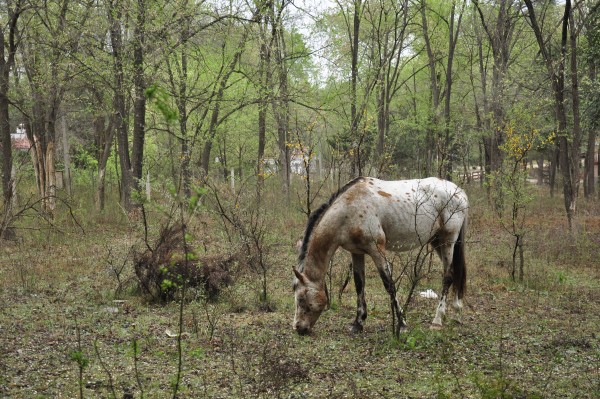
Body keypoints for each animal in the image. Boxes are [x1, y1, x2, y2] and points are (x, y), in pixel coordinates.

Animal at [292, 178, 468, 338]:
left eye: (301, 299)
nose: (298, 328)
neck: (348, 208)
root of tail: (460, 192)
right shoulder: (357, 252)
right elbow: (359, 284)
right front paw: (358, 323)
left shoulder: (377, 250)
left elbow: (389, 285)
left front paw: (402, 324)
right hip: (436, 241)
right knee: (455, 274)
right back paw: (457, 312)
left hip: (448, 241)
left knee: (448, 276)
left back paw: (437, 320)